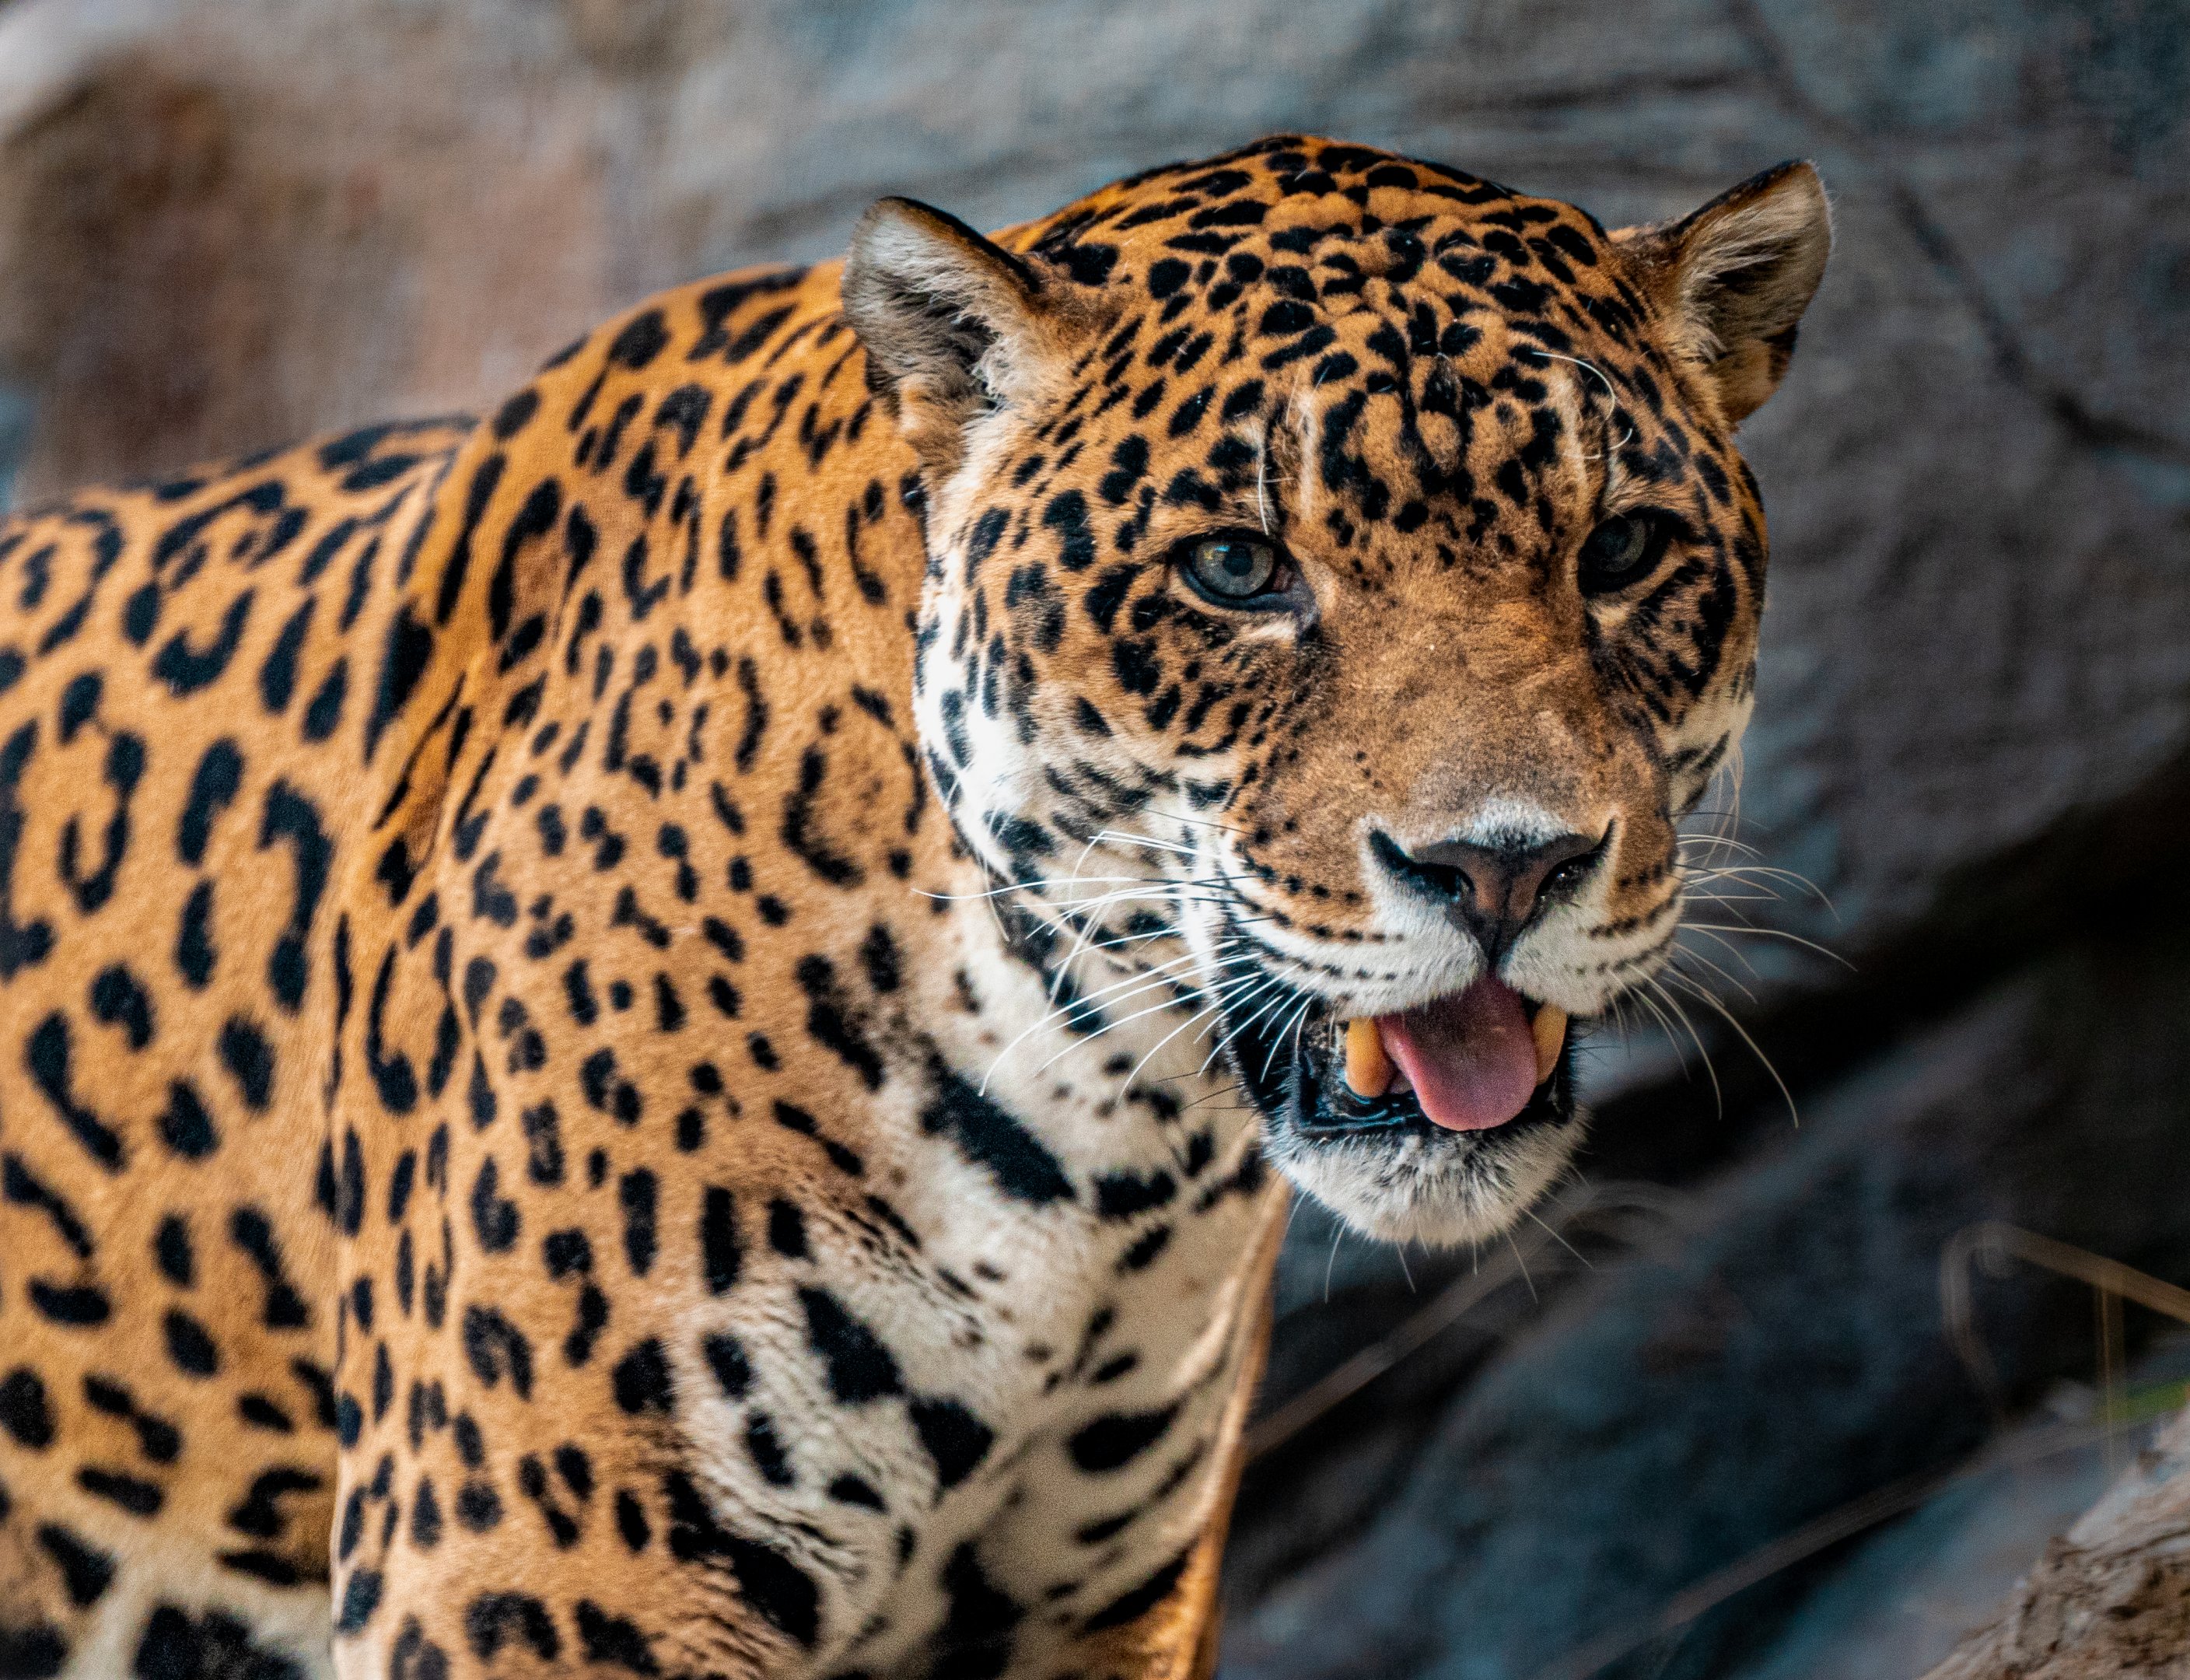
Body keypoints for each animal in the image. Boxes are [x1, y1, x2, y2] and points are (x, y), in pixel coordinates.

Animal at [0, 133, 1829, 1680]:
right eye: (1236, 570)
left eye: (1624, 550)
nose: (1505, 865)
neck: (1097, 1139)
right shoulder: (534, 1587)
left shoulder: (1097, 1615)